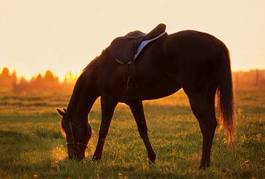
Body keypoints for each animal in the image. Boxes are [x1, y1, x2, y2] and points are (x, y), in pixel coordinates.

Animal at [56, 28, 232, 169]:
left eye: (69, 129)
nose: (73, 157)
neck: (103, 69)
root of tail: (218, 44)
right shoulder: (134, 101)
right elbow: (142, 129)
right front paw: (152, 158)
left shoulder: (108, 99)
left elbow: (103, 129)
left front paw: (96, 158)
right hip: (207, 93)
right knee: (211, 124)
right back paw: (206, 163)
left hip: (197, 94)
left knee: (207, 125)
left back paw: (203, 165)